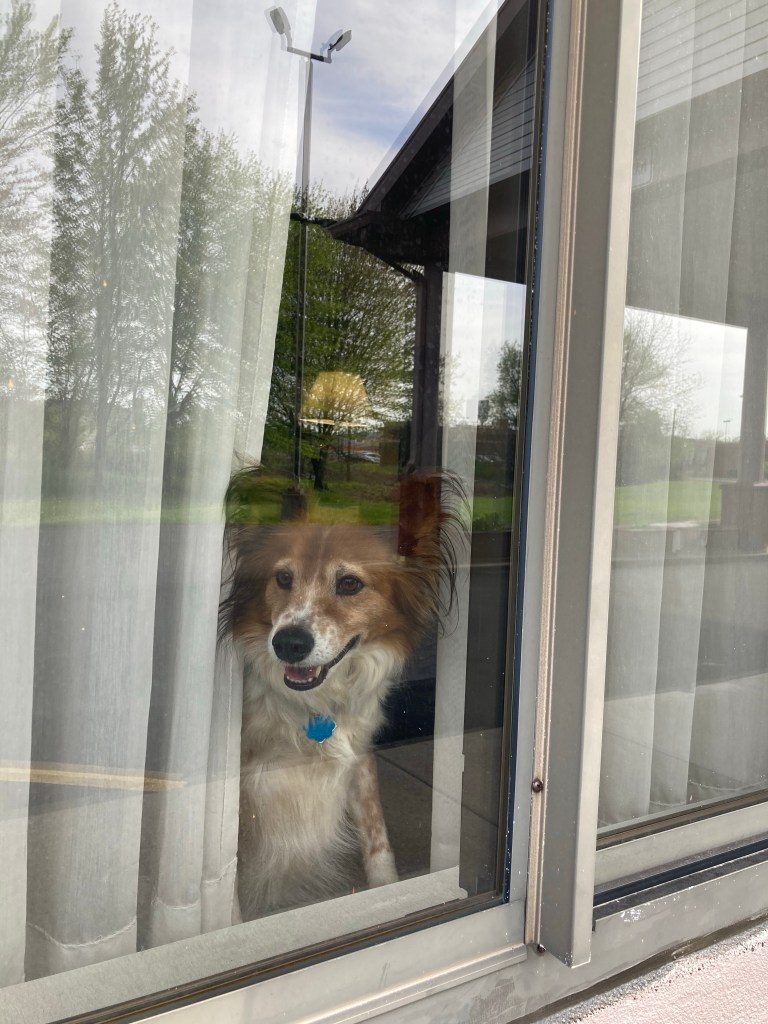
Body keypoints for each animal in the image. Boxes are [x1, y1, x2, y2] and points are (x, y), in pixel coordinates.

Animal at [219, 469, 462, 919]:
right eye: (283, 578)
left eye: (349, 583)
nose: (289, 643)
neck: (313, 708)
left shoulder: (359, 756)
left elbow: (377, 838)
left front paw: (386, 890)